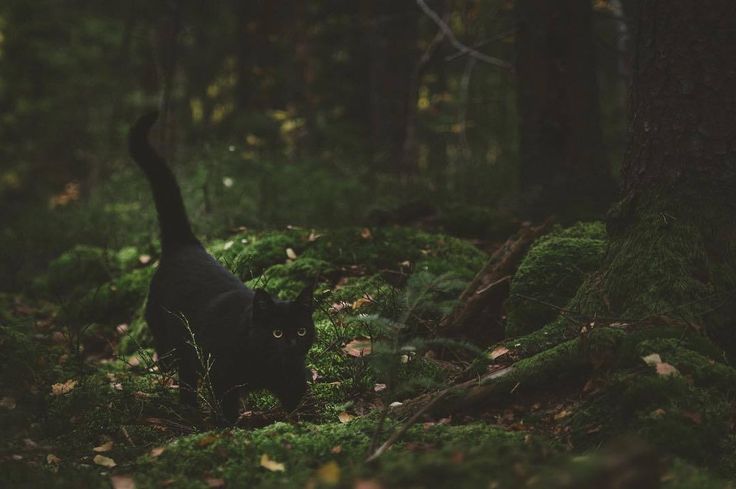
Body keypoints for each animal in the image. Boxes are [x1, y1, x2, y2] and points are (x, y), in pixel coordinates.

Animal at [128, 112, 314, 422]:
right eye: (276, 332)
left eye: (300, 331)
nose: (291, 344)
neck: (266, 364)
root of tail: (186, 244)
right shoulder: (221, 376)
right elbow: (227, 409)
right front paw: (229, 428)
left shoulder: (293, 378)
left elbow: (303, 404)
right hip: (172, 345)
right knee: (182, 375)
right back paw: (189, 411)